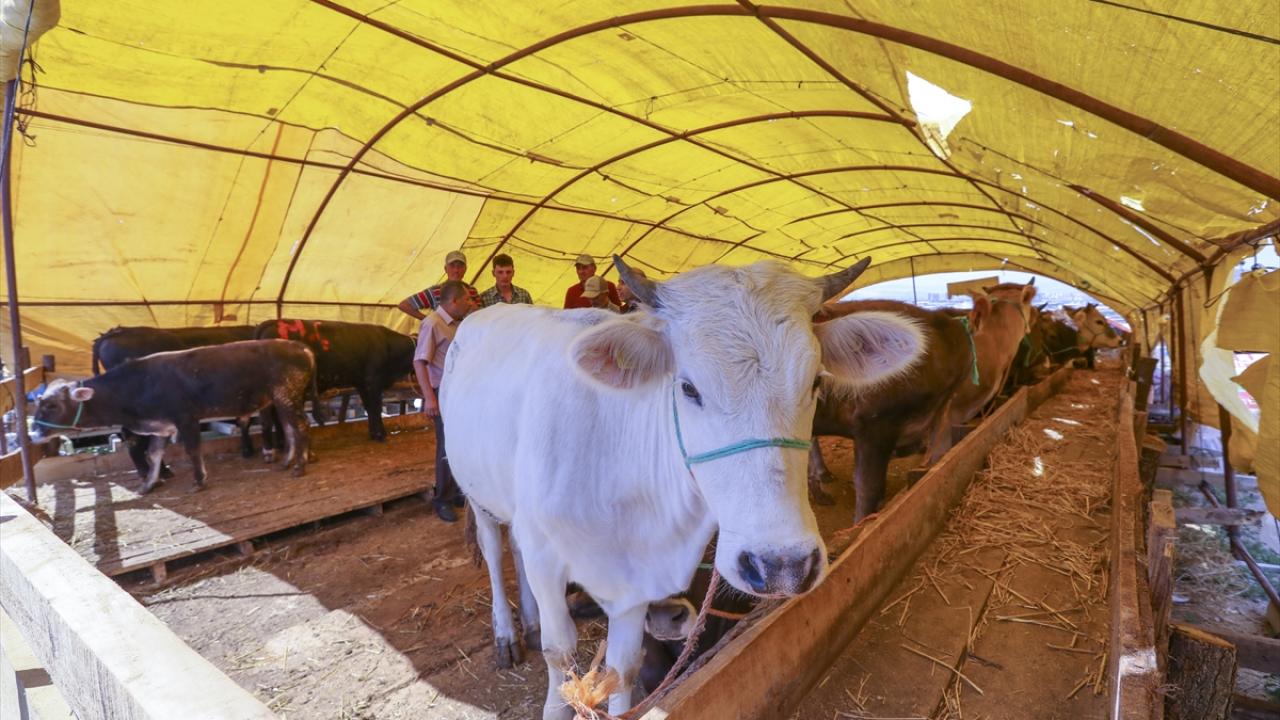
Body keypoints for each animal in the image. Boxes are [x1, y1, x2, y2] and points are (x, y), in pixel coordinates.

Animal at [33, 338, 317, 489]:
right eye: (39, 402)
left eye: (51, 406)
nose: (34, 432)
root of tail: (298, 346)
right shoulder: (161, 425)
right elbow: (153, 453)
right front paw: (149, 484)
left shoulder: (186, 418)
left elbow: (192, 450)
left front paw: (199, 480)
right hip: (280, 399)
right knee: (290, 429)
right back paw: (286, 461)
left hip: (288, 395)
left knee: (301, 427)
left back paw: (299, 467)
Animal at [257, 316, 417, 440]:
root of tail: (271, 322)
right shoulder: (373, 382)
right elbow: (375, 407)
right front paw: (380, 435)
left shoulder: (362, 384)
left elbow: (369, 408)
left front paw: (374, 434)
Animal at [440, 254, 921, 712]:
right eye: (688, 387)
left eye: (817, 381)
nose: (781, 565)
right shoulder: (547, 555)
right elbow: (562, 665)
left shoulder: (637, 585)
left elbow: (622, 670)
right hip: (476, 492)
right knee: (494, 548)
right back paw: (507, 632)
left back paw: (530, 616)